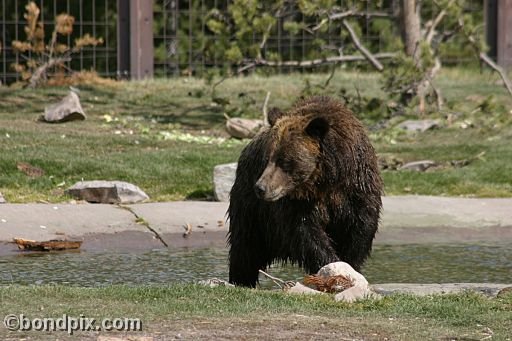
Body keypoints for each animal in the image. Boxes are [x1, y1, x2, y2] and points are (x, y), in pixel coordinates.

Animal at [227, 95, 380, 286]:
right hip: (253, 210)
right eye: (267, 158)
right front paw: (330, 265)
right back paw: (240, 279)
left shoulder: (356, 186)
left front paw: (350, 265)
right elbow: (305, 232)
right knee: (245, 246)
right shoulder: (297, 203)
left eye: (283, 160)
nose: (260, 188)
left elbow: (361, 226)